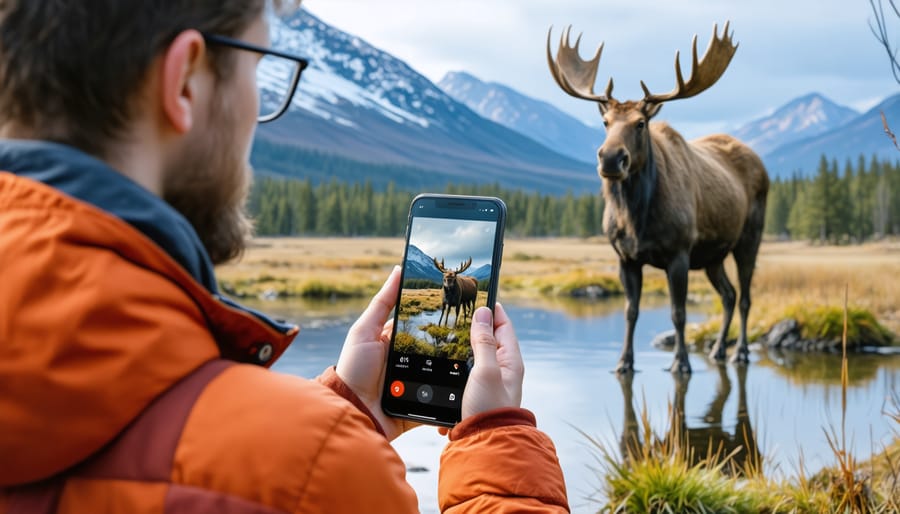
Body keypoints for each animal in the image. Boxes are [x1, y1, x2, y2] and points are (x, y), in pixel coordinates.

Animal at [547, 21, 769, 374]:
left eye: (640, 123)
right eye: (605, 122)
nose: (611, 159)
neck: (637, 219)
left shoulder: (678, 252)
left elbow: (678, 313)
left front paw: (681, 362)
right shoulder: (625, 257)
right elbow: (630, 311)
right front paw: (624, 361)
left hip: (749, 237)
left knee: (746, 297)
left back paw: (740, 352)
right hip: (713, 256)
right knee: (729, 294)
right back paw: (718, 349)